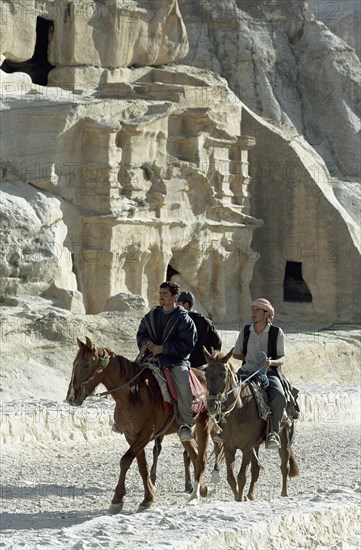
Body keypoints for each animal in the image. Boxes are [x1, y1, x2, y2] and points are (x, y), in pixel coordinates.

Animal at [66, 338, 210, 516]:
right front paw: (147, 498)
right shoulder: (131, 436)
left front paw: (118, 499)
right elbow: (142, 467)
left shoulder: (145, 435)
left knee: (201, 458)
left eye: (86, 364)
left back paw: (195, 495)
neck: (132, 394)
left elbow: (125, 460)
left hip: (204, 424)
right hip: (184, 432)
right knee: (194, 455)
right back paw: (201, 489)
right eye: (74, 363)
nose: (71, 397)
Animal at [202, 352, 298, 502]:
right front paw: (239, 497)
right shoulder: (229, 446)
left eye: (223, 374)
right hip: (256, 444)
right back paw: (251, 495)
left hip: (284, 436)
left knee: (284, 465)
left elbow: (241, 476)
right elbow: (231, 478)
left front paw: (240, 498)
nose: (212, 406)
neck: (240, 408)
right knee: (256, 468)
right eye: (206, 374)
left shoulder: (246, 447)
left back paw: (284, 493)